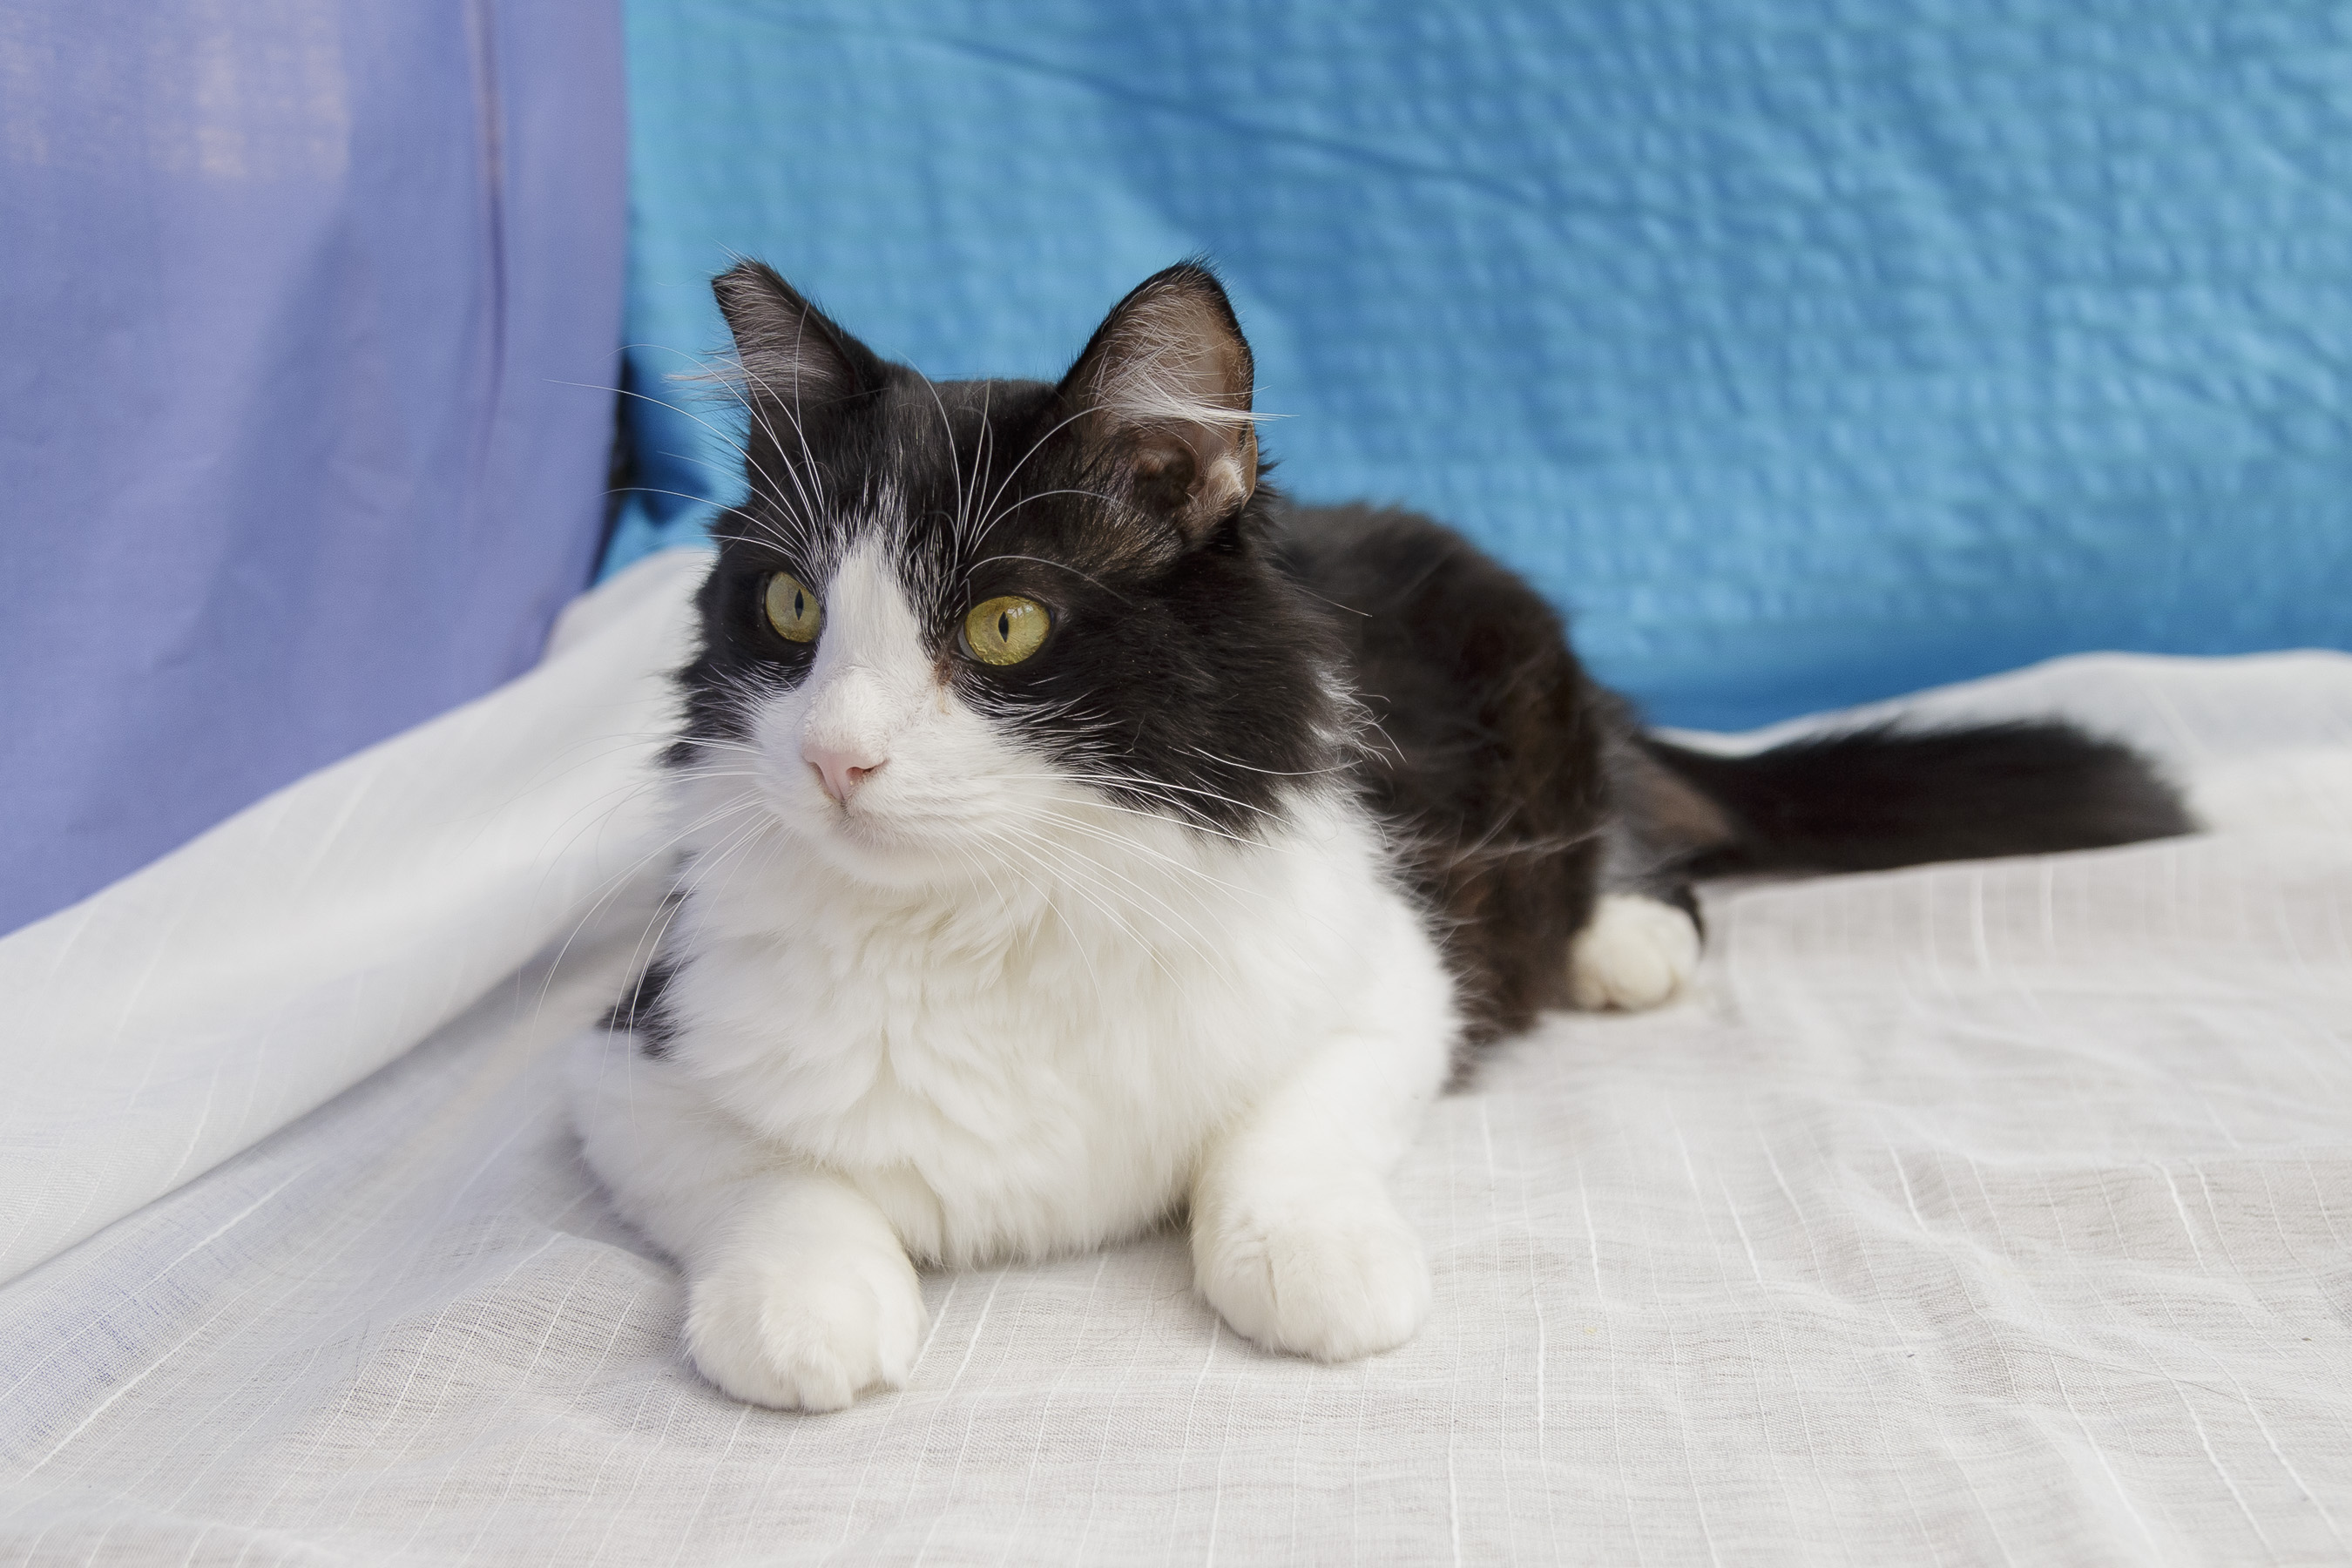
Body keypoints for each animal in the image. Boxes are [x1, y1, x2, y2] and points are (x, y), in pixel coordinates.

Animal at [569, 254, 2182, 1410]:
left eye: (1004, 626)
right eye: (791, 611)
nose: (834, 759)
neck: (984, 916)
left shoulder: (1392, 977)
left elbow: (1280, 1134)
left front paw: (1320, 1264)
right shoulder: (629, 1056)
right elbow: (770, 1180)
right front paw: (805, 1308)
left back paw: (1624, 938)